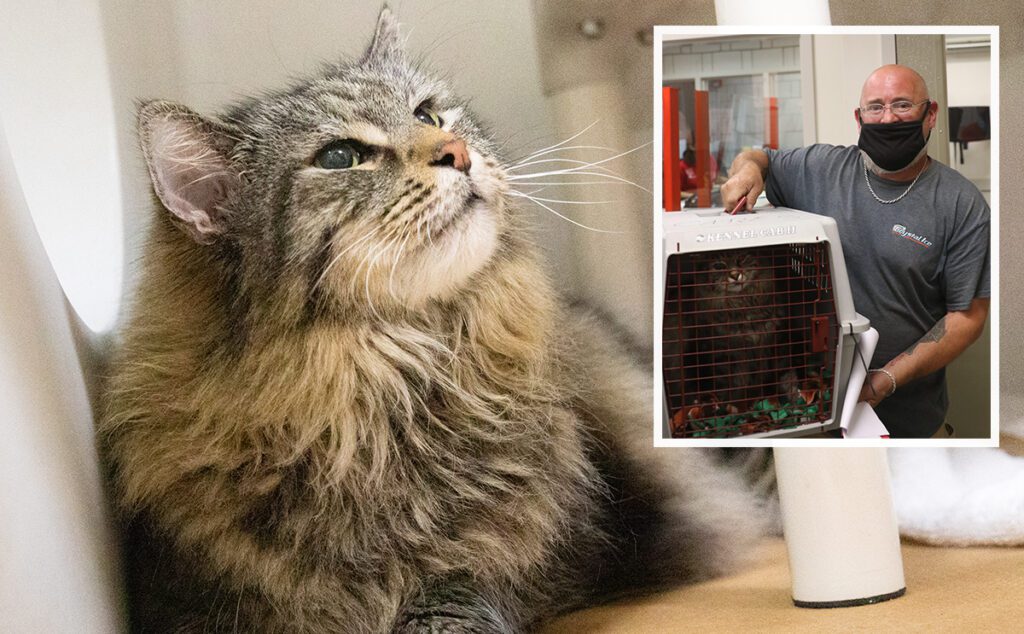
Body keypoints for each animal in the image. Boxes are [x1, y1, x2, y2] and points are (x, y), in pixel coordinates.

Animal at [103, 7, 770, 630]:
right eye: (340, 157)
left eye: (427, 116)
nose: (459, 153)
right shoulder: (196, 601)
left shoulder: (538, 557)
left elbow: (454, 594)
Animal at [663, 205, 872, 438]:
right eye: (718, 265)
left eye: (742, 258)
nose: (735, 275)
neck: (744, 309)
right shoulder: (725, 358)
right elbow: (734, 388)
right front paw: (737, 410)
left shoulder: (772, 348)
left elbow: (778, 381)